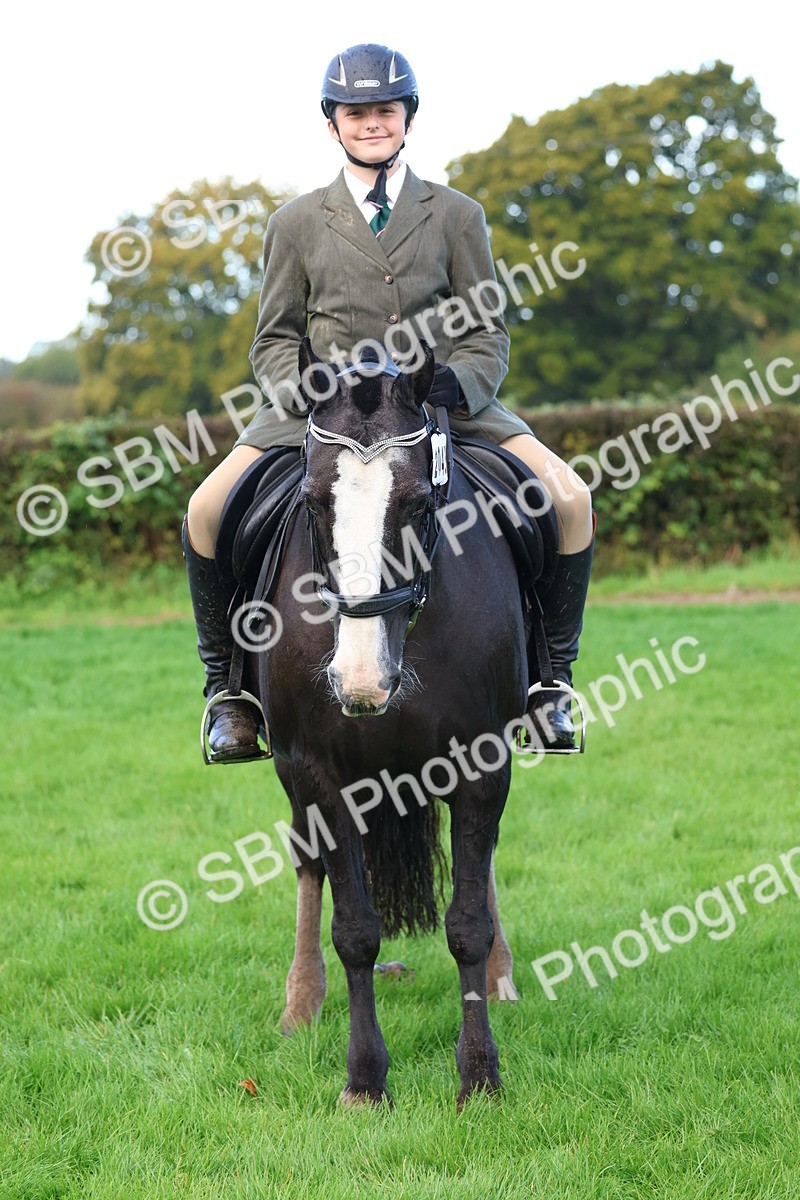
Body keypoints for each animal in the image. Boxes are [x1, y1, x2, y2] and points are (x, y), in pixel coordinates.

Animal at [244, 338, 535, 1109]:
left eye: (418, 501)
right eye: (313, 502)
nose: (362, 680)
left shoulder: (483, 759)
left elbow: (466, 922)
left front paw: (479, 1076)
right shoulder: (315, 770)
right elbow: (355, 931)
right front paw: (365, 1080)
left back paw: (501, 975)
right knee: (308, 866)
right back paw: (301, 1002)